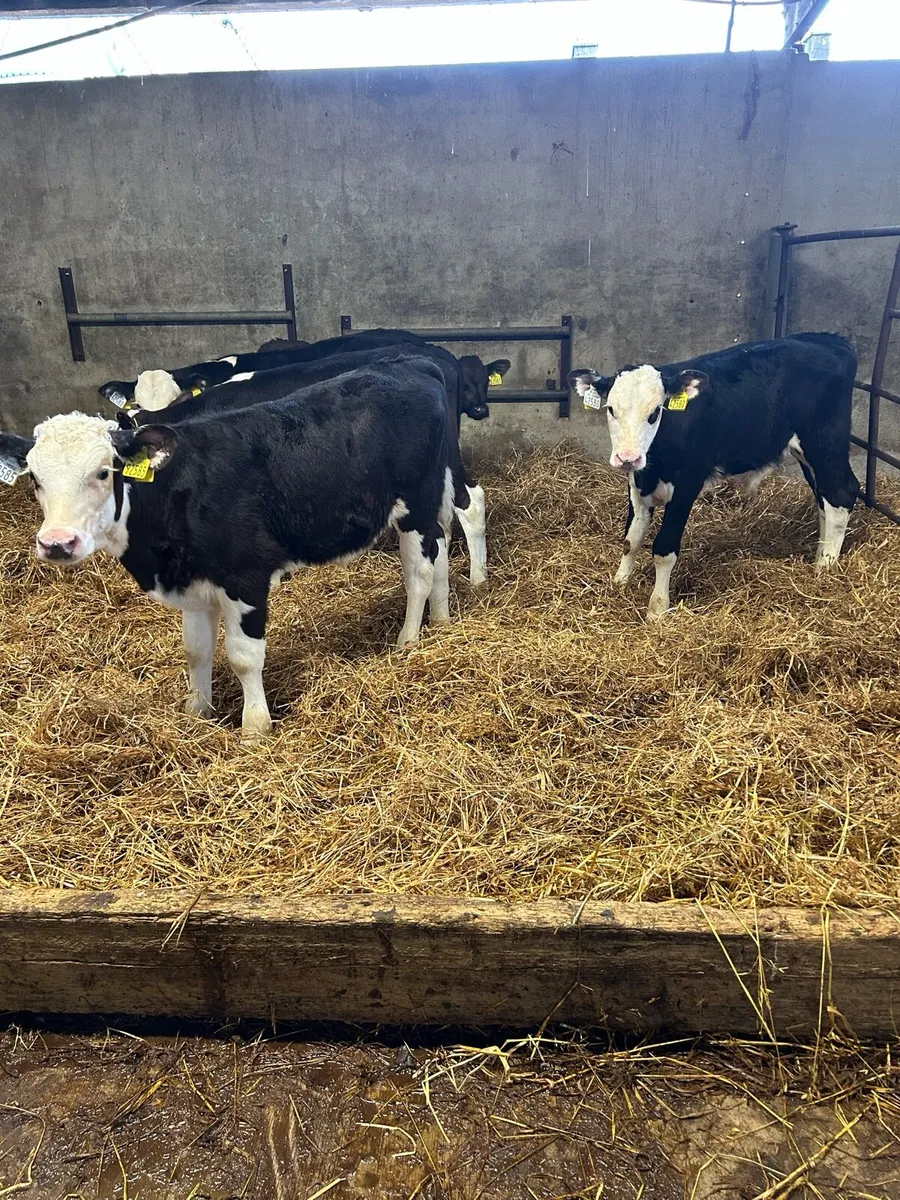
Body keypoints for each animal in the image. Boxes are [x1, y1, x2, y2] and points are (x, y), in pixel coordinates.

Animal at [0, 358, 454, 736]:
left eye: (102, 472)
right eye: (35, 477)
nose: (57, 543)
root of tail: (412, 362)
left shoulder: (245, 576)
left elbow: (243, 655)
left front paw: (254, 728)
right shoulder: (193, 586)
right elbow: (196, 651)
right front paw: (196, 712)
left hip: (416, 503)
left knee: (419, 570)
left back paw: (408, 639)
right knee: (441, 548)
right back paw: (443, 620)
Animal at [569, 333, 860, 620]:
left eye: (655, 412)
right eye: (610, 409)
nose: (627, 457)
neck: (655, 465)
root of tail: (829, 340)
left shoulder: (687, 485)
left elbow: (664, 550)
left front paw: (657, 608)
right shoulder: (637, 486)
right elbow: (631, 540)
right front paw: (619, 583)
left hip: (825, 443)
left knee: (841, 494)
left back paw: (825, 567)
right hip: (808, 455)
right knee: (824, 500)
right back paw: (820, 555)